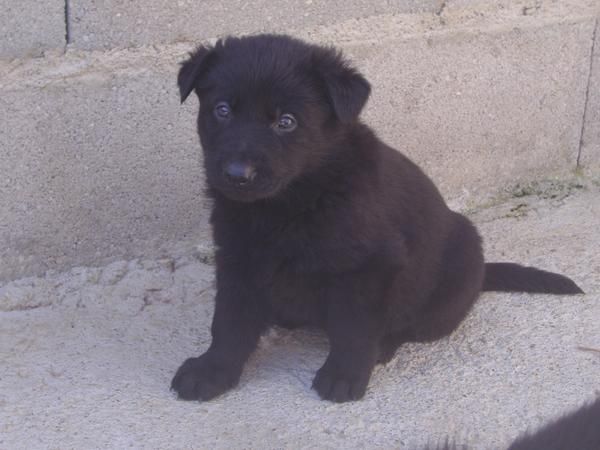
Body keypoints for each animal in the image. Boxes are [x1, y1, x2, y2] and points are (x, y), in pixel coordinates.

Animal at [171, 33, 584, 402]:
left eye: (286, 122)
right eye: (222, 111)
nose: (237, 175)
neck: (290, 202)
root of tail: (482, 274)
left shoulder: (370, 266)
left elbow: (354, 327)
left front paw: (344, 375)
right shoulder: (238, 258)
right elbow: (228, 322)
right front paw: (212, 371)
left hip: (451, 277)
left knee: (409, 325)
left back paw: (382, 346)